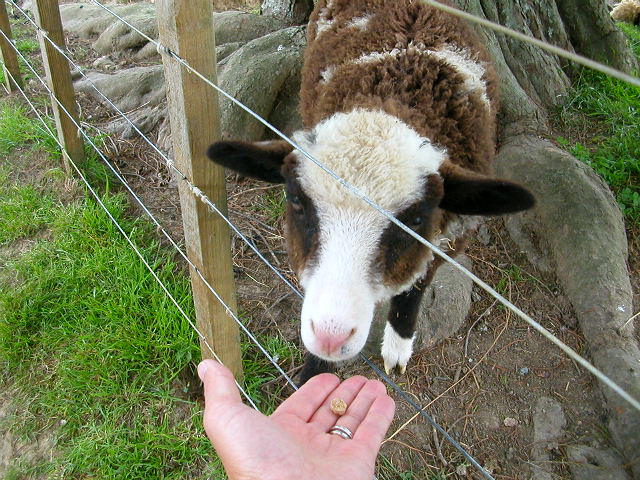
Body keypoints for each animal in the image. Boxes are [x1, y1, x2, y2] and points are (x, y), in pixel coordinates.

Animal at [206, 0, 536, 382]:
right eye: (296, 201)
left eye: (416, 220)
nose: (330, 336)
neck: (398, 95)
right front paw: (313, 377)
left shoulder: (441, 242)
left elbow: (413, 291)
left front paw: (397, 348)